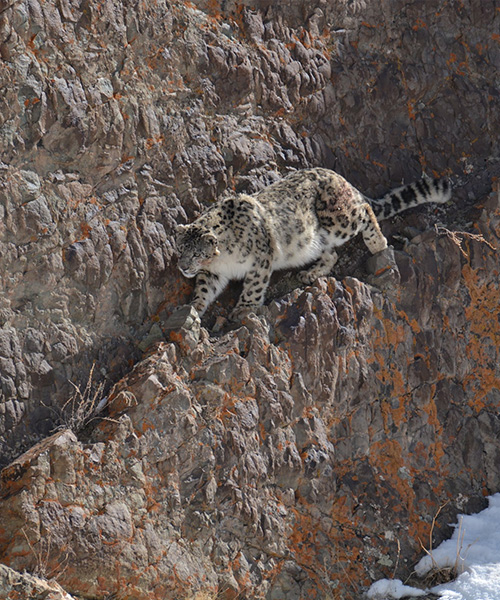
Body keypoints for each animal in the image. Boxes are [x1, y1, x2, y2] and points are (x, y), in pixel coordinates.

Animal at [174, 166, 452, 322]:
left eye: (197, 253)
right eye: (181, 250)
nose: (183, 267)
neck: (223, 260)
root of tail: (339, 177)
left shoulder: (260, 259)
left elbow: (253, 286)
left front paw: (243, 309)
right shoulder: (212, 273)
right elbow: (204, 289)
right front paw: (193, 307)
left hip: (337, 219)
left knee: (365, 209)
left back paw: (378, 243)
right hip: (321, 238)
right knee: (332, 255)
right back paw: (310, 273)